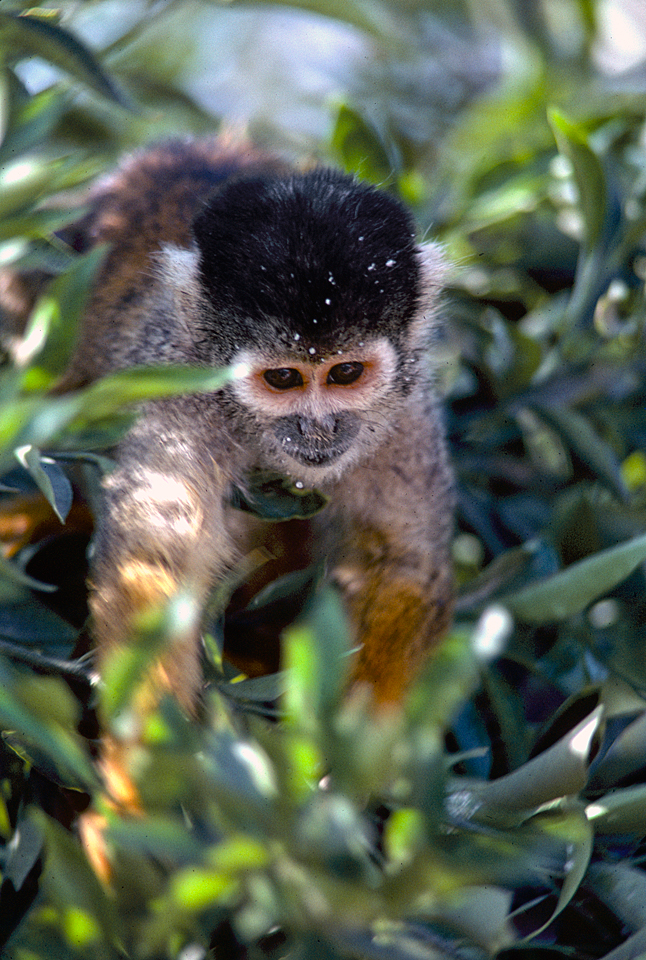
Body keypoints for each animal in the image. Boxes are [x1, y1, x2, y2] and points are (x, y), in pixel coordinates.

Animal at [34, 137, 456, 720]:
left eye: (345, 373)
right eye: (283, 378)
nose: (317, 429)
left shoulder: (404, 412)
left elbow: (399, 564)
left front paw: (363, 739)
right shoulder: (182, 392)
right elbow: (154, 560)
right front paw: (155, 745)